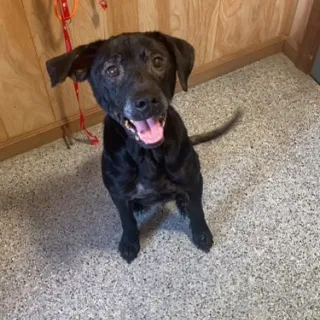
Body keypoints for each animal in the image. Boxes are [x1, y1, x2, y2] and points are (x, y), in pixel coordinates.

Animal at [46, 31, 239, 262]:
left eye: (158, 61)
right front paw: (130, 243)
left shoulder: (192, 180)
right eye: (112, 70)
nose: (147, 101)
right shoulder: (118, 194)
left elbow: (197, 210)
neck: (147, 154)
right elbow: (127, 221)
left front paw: (201, 233)